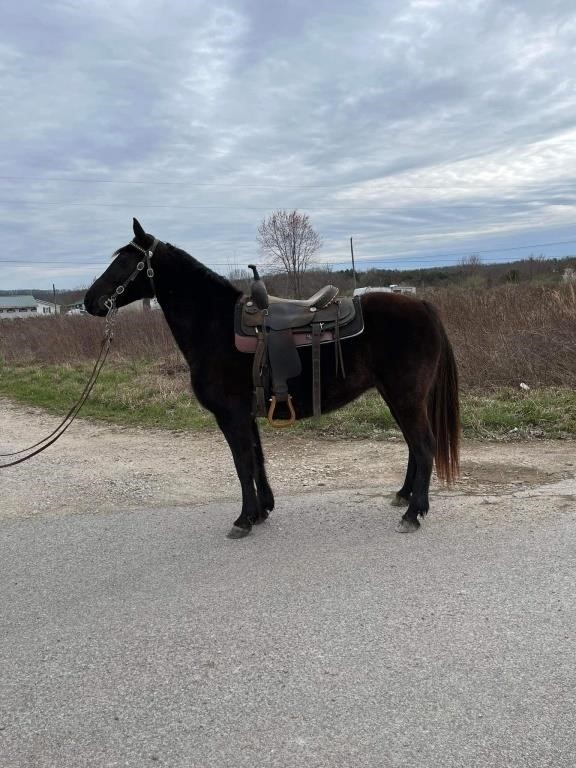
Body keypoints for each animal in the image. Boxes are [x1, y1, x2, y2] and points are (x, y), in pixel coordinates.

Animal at [84, 219, 460, 536]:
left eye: (125, 263)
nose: (89, 301)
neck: (214, 325)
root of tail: (422, 306)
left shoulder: (231, 415)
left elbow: (242, 463)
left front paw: (244, 519)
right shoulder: (246, 414)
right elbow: (256, 460)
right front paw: (263, 510)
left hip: (405, 397)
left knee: (424, 446)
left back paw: (413, 513)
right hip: (397, 396)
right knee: (414, 446)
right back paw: (404, 496)